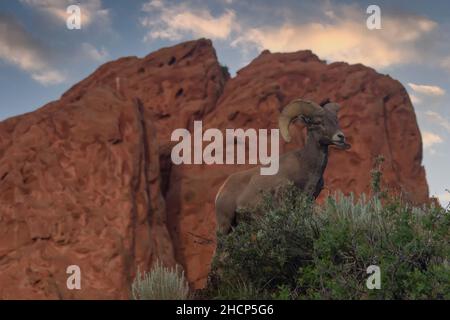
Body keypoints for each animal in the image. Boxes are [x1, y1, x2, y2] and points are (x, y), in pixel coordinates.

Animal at [214, 99, 352, 234]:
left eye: (336, 120)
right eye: (318, 122)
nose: (341, 137)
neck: (306, 166)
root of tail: (221, 190)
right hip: (225, 225)